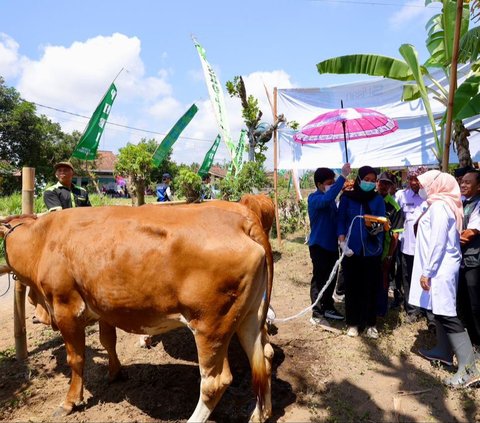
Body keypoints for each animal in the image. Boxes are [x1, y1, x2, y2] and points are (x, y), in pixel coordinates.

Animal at [1, 204, 274, 422]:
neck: (41, 240)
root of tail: (242, 220)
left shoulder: (65, 307)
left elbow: (76, 359)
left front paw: (70, 401)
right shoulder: (104, 307)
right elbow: (107, 341)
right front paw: (115, 372)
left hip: (210, 326)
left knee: (214, 382)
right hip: (249, 317)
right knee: (263, 360)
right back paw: (259, 415)